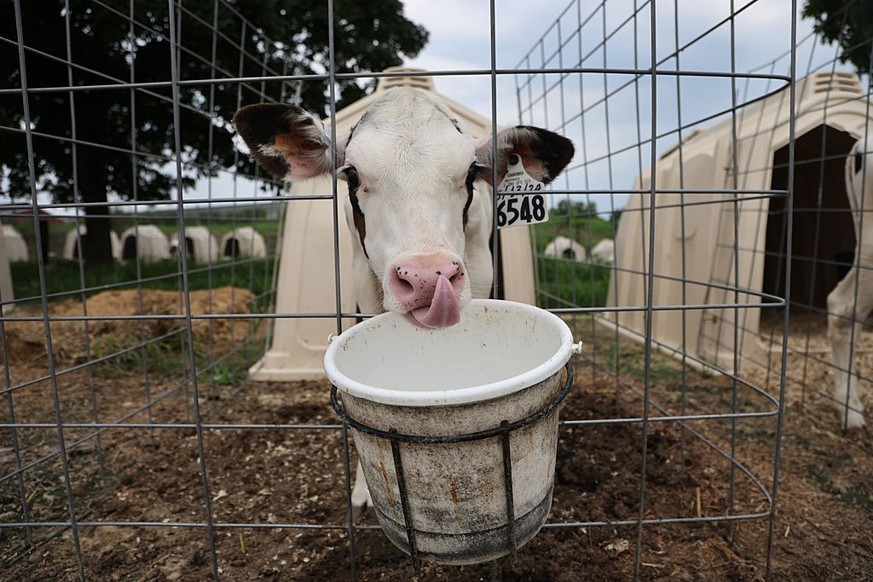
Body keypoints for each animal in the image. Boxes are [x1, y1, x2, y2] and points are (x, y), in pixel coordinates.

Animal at [233, 86, 574, 513]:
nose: (428, 278)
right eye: (352, 174)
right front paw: (363, 488)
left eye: (471, 173)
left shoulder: (480, 271)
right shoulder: (363, 280)